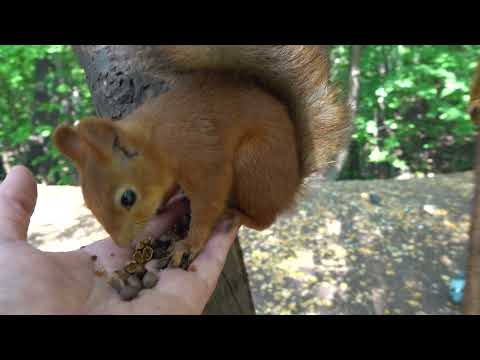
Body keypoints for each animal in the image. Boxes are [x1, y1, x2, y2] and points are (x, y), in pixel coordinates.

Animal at [53, 45, 352, 268]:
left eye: (128, 198)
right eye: (88, 204)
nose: (123, 244)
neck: (159, 141)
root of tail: (292, 186)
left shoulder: (204, 159)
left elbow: (208, 202)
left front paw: (188, 244)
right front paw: (163, 205)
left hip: (254, 165)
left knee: (265, 220)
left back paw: (239, 216)